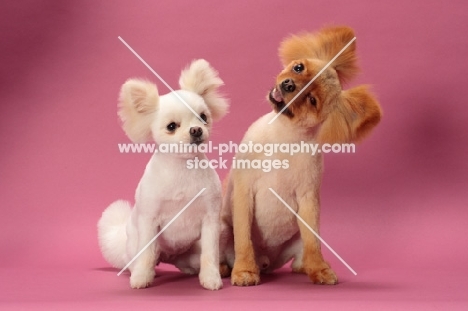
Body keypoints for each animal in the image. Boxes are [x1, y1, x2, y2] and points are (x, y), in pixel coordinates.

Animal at [98, 59, 229, 292]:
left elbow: (210, 254)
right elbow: (147, 255)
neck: (183, 167)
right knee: (141, 258)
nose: (196, 130)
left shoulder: (210, 221)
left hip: (191, 252)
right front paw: (141, 278)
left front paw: (211, 278)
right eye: (172, 126)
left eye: (203, 117)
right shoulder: (150, 220)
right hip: (134, 248)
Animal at [219, 26, 380, 288]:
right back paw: (227, 268)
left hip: (297, 239)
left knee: (304, 254)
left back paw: (309, 267)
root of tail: (267, 262)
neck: (283, 137)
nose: (288, 85)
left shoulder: (308, 200)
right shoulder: (244, 193)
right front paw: (244, 270)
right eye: (298, 68)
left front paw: (321, 269)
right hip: (222, 228)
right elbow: (243, 240)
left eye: (312, 100)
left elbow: (314, 243)